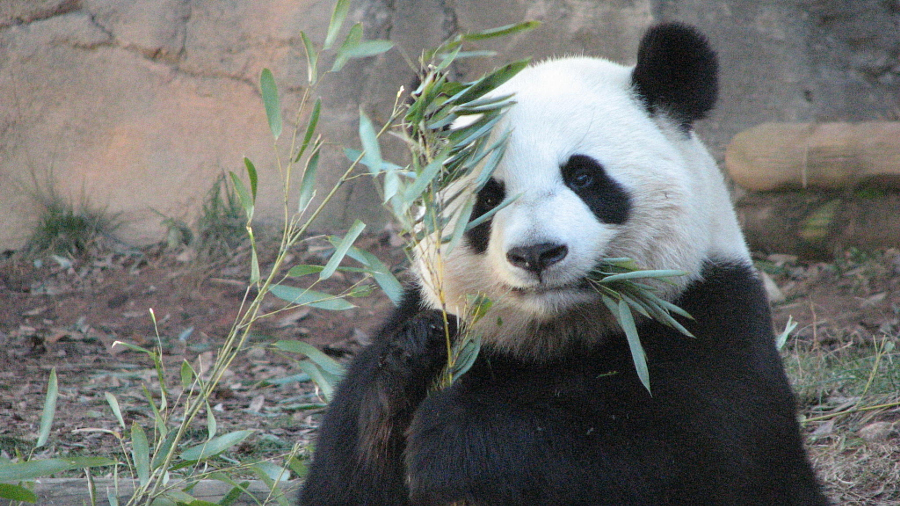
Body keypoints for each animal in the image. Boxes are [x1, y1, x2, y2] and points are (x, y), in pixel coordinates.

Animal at [298, 22, 828, 506]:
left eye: (583, 176)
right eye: (488, 197)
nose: (536, 253)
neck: (557, 336)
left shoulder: (711, 322)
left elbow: (685, 455)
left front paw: (453, 439)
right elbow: (347, 469)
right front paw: (415, 355)